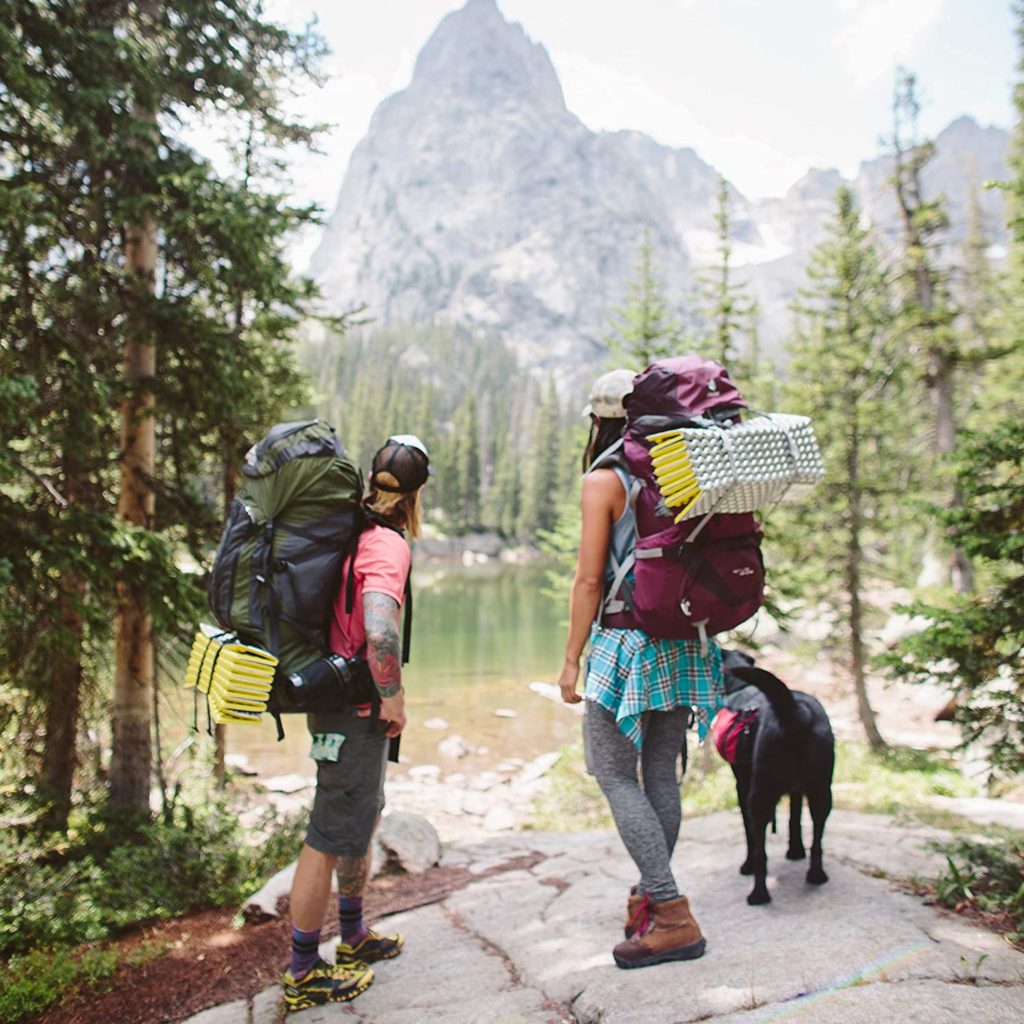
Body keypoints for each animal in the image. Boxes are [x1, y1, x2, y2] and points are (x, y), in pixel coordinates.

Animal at [720, 655, 831, 905]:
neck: (742, 688)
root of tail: (796, 713)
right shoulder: (797, 789)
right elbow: (794, 818)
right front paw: (796, 851)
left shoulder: (742, 786)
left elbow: (749, 834)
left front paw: (746, 866)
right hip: (821, 790)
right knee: (817, 840)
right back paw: (816, 875)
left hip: (759, 796)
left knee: (760, 850)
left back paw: (758, 894)